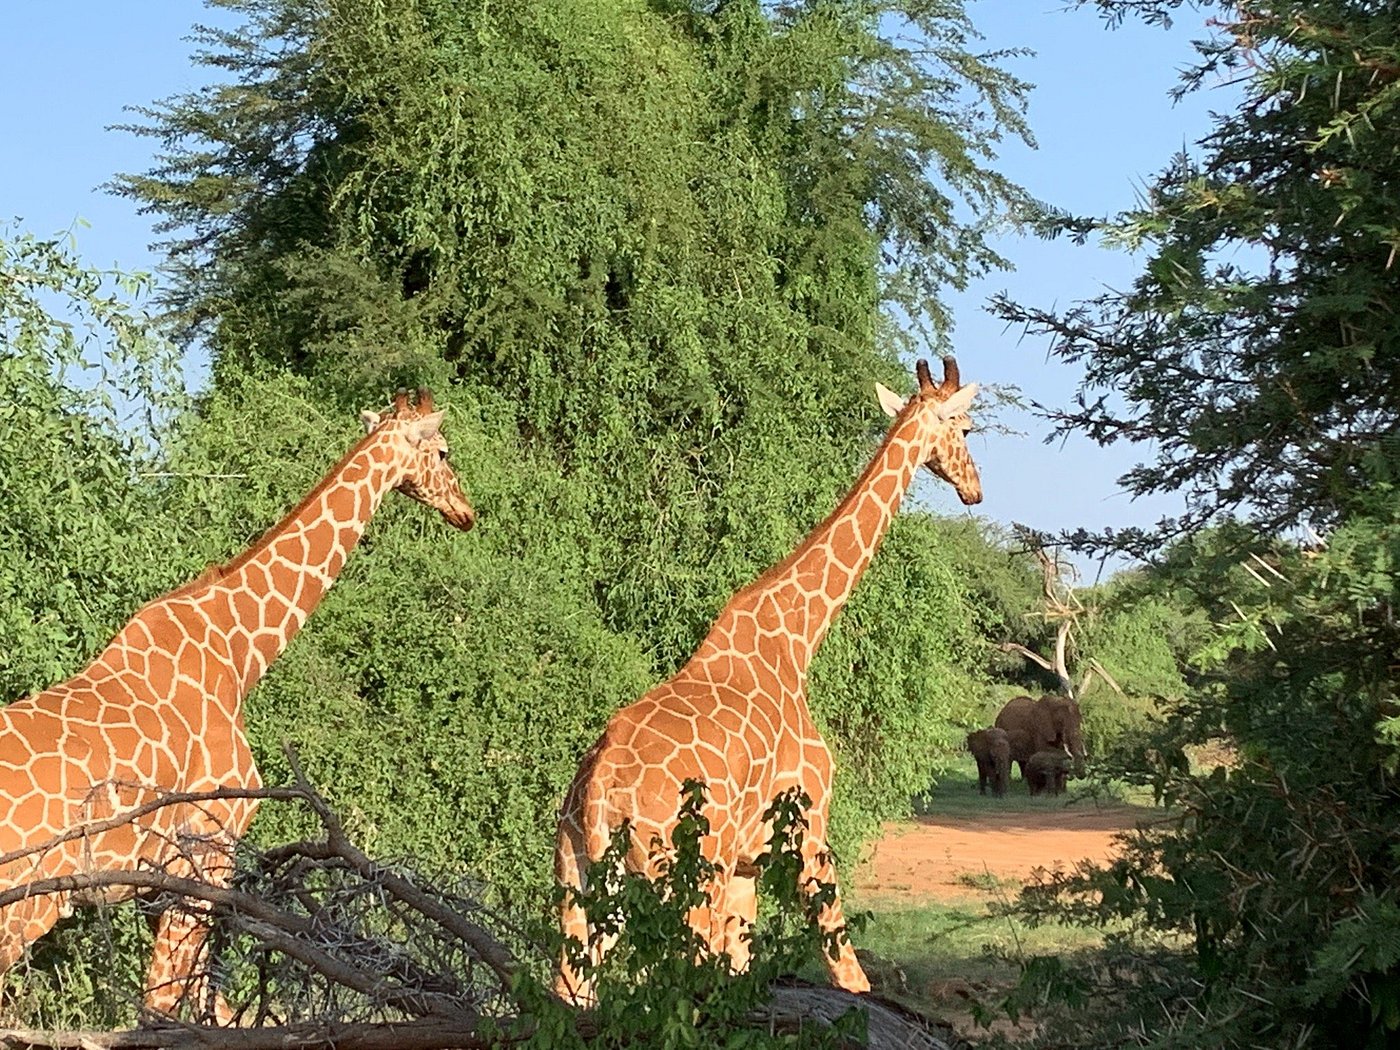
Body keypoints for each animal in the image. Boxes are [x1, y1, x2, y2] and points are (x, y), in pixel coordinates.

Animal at [0, 388, 473, 1021]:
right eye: (443, 451)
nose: (466, 511)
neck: (240, 652)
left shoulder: (163, 885)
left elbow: (210, 1005)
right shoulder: (210, 852)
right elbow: (165, 1008)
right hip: (22, 907)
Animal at [555, 357, 982, 1003]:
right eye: (965, 428)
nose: (975, 488)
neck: (796, 641)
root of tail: (602, 789)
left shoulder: (746, 867)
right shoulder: (808, 836)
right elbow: (847, 970)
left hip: (578, 878)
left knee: (570, 988)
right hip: (683, 877)